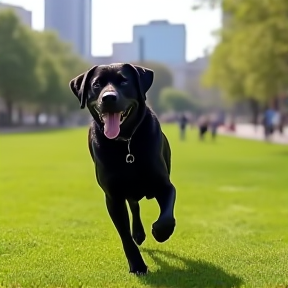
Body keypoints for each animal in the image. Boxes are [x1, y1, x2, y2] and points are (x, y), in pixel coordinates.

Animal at [69, 63, 177, 274]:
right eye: (97, 84)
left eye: (124, 81)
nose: (108, 97)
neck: (126, 143)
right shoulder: (113, 196)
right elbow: (124, 234)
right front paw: (137, 265)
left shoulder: (164, 185)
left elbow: (167, 216)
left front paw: (159, 232)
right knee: (134, 205)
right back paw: (138, 234)